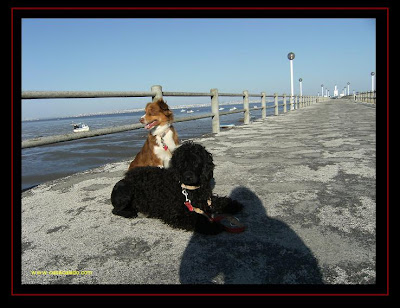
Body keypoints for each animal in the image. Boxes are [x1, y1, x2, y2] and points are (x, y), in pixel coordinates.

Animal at [110, 141, 244, 233]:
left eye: (196, 162)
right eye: (181, 163)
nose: (188, 177)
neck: (189, 190)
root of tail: (125, 178)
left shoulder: (206, 200)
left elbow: (218, 201)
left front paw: (231, 205)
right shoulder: (174, 213)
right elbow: (195, 219)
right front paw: (211, 226)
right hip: (126, 192)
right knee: (115, 210)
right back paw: (130, 213)